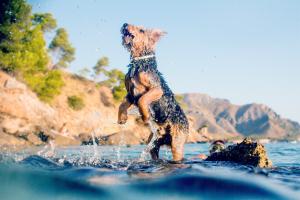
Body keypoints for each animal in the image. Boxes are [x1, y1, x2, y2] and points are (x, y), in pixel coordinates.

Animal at [118, 22, 190, 162]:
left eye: (141, 30)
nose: (124, 24)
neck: (139, 62)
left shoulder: (156, 89)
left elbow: (143, 99)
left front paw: (145, 116)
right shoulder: (130, 94)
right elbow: (122, 104)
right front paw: (122, 118)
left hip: (177, 143)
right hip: (153, 143)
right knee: (154, 152)